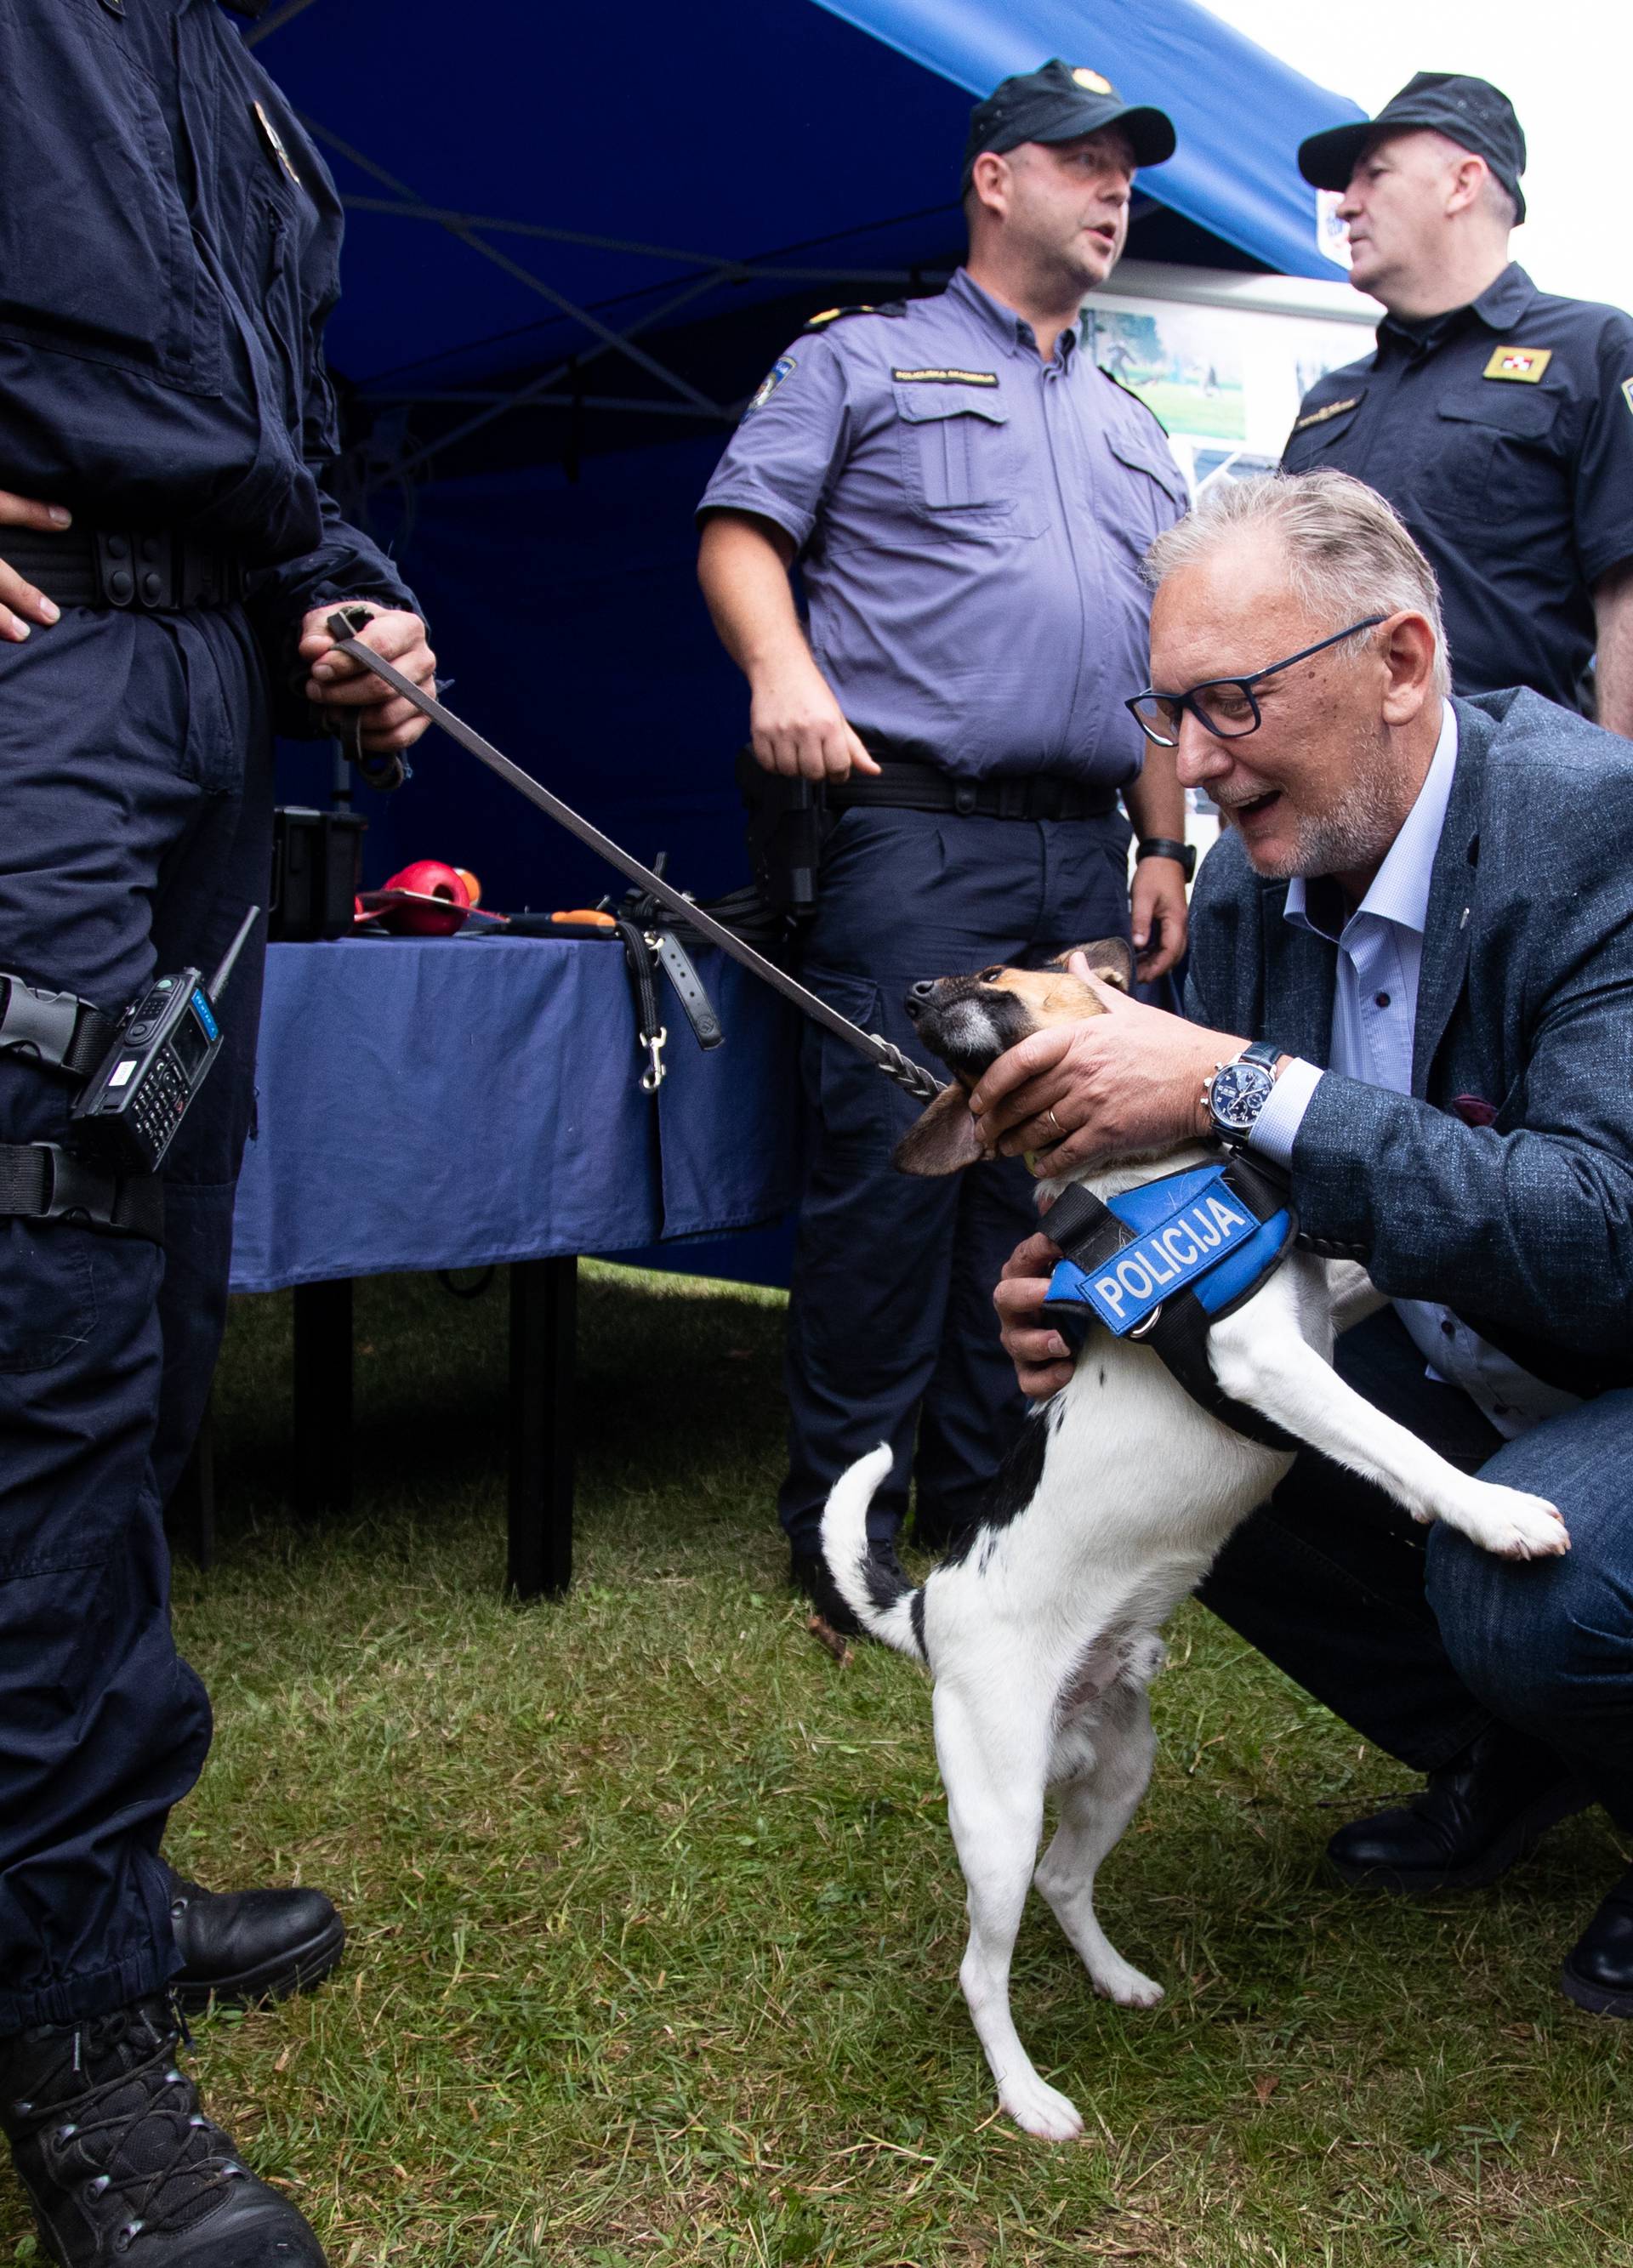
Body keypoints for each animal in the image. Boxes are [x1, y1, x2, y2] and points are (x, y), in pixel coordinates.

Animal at [821, 943, 1560, 2140]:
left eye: (995, 976)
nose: (919, 995)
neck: (1142, 1178)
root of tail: (929, 1606)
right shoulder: (1269, 1363)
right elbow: (1399, 1445)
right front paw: (1493, 1512)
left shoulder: (1322, 1304)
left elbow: (1379, 1274)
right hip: (998, 1806)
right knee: (983, 1966)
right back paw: (1029, 2098)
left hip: (1121, 1763)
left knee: (1065, 1882)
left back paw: (1116, 1979)